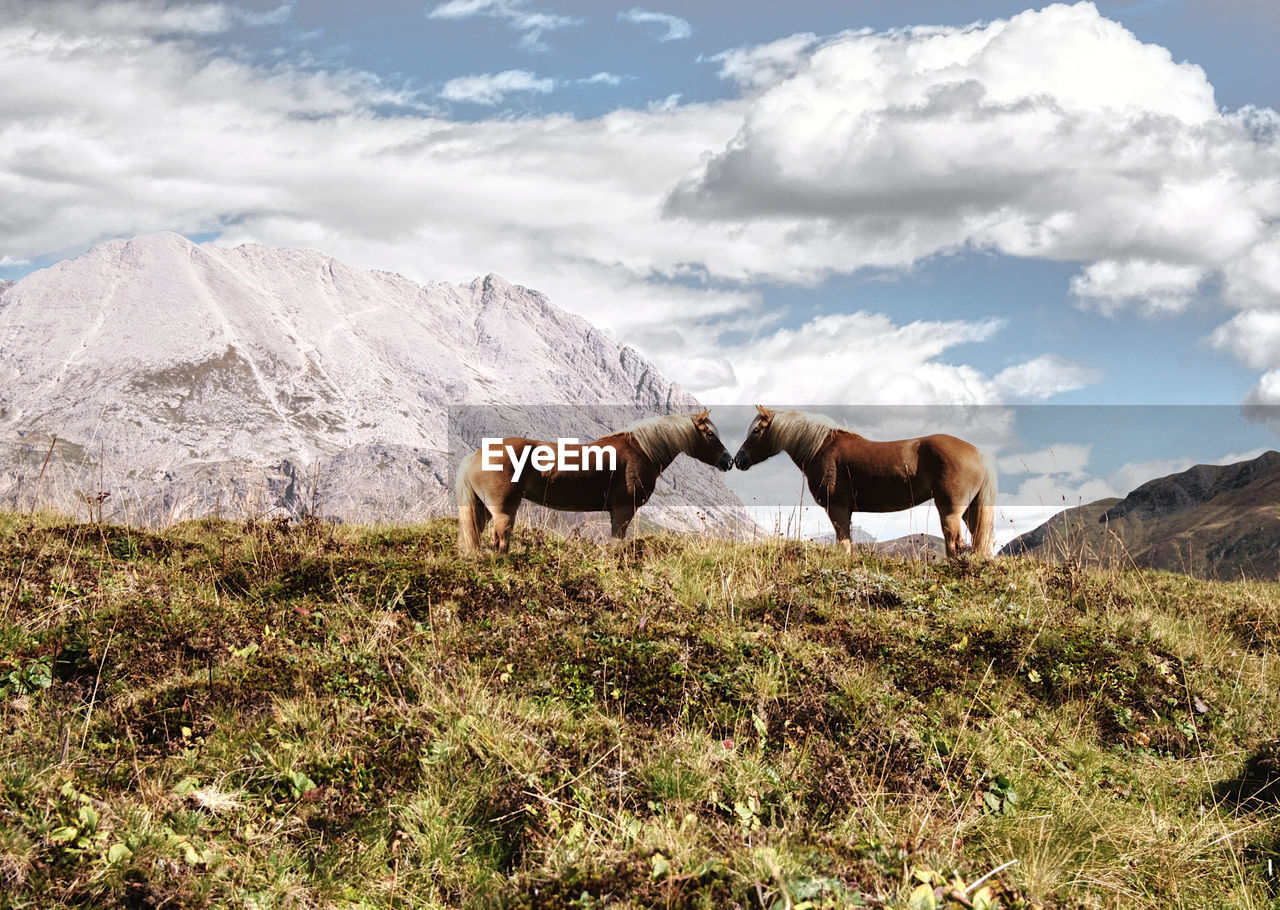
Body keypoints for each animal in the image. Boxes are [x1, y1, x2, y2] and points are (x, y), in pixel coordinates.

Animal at [453, 409, 732, 552]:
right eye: (709, 434)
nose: (729, 461)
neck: (642, 450)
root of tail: (476, 455)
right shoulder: (623, 510)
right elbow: (615, 546)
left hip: (482, 509)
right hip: (503, 512)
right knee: (500, 543)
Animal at [732, 407, 998, 563]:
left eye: (756, 431)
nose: (738, 459)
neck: (821, 449)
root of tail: (978, 453)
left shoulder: (837, 508)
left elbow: (844, 543)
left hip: (950, 511)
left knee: (954, 543)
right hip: (970, 511)